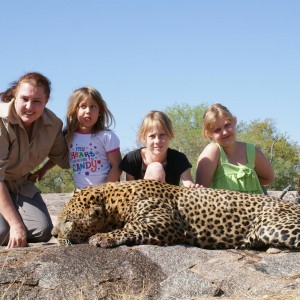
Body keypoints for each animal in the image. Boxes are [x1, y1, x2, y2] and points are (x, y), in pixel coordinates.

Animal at [51, 179, 300, 250]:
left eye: (68, 221)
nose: (53, 234)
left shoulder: (167, 223)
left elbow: (131, 227)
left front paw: (102, 237)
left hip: (272, 227)